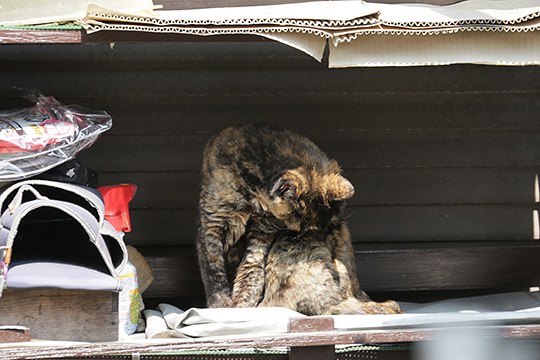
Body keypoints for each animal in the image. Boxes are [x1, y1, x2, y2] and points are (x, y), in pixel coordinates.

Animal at [198, 124, 400, 316]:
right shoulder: (213, 225)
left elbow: (251, 273)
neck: (254, 205)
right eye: (300, 225)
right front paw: (222, 307)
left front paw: (240, 308)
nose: (319, 234)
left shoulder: (261, 237)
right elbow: (213, 271)